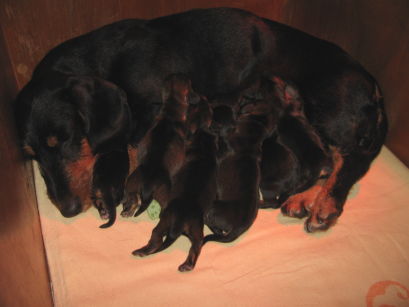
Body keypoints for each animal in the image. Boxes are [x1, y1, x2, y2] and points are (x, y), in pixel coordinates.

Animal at [14, 6, 386, 231]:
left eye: (65, 138)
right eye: (33, 156)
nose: (67, 209)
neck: (103, 66)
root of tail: (372, 82)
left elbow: (131, 147)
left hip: (330, 112)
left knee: (351, 160)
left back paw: (324, 205)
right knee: (329, 160)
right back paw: (305, 200)